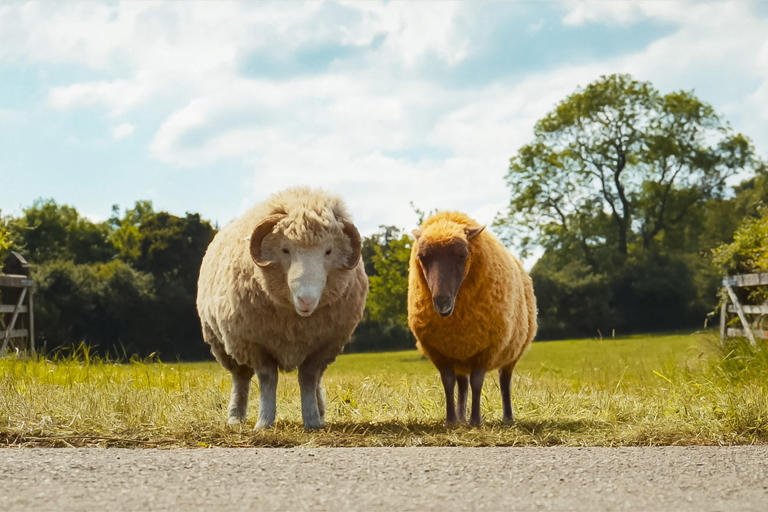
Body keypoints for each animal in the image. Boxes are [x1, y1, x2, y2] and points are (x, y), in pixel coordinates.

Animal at [196, 187, 368, 430]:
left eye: (328, 251)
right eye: (285, 250)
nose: (306, 300)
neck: (296, 321)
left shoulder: (323, 346)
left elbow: (308, 378)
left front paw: (312, 420)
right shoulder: (256, 344)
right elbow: (268, 379)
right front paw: (264, 422)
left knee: (316, 380)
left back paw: (320, 412)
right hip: (223, 344)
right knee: (240, 379)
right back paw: (235, 417)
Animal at [407, 211, 537, 426]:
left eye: (462, 255)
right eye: (422, 257)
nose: (442, 302)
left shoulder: (486, 349)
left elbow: (477, 383)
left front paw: (476, 420)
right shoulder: (440, 352)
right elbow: (448, 383)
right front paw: (451, 421)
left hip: (512, 352)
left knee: (504, 381)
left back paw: (507, 418)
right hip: (461, 354)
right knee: (462, 384)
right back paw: (461, 417)